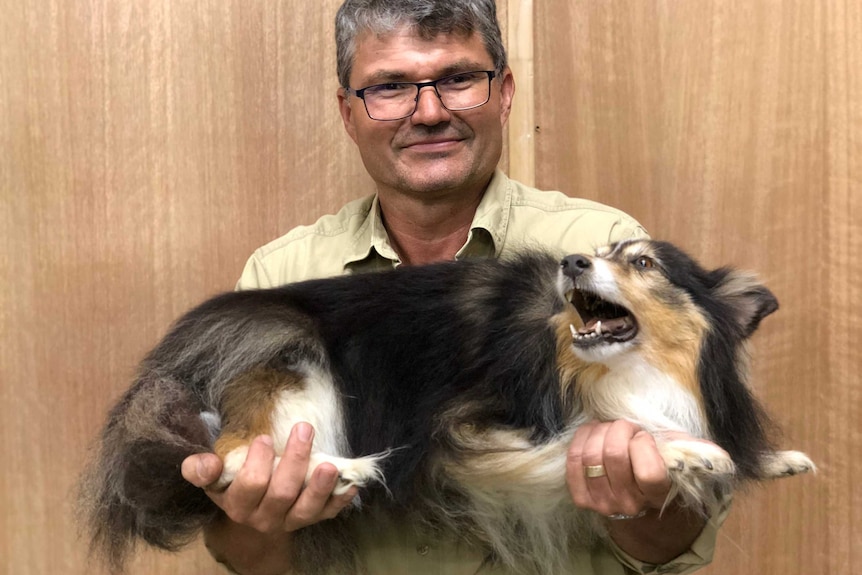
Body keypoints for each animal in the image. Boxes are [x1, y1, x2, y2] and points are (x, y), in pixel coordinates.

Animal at [76, 237, 816, 572]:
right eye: (604, 252)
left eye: (641, 263)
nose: (574, 262)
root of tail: (171, 357)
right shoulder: (465, 435)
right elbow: (600, 433)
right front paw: (694, 450)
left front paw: (775, 458)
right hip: (300, 361)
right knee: (227, 457)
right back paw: (341, 470)